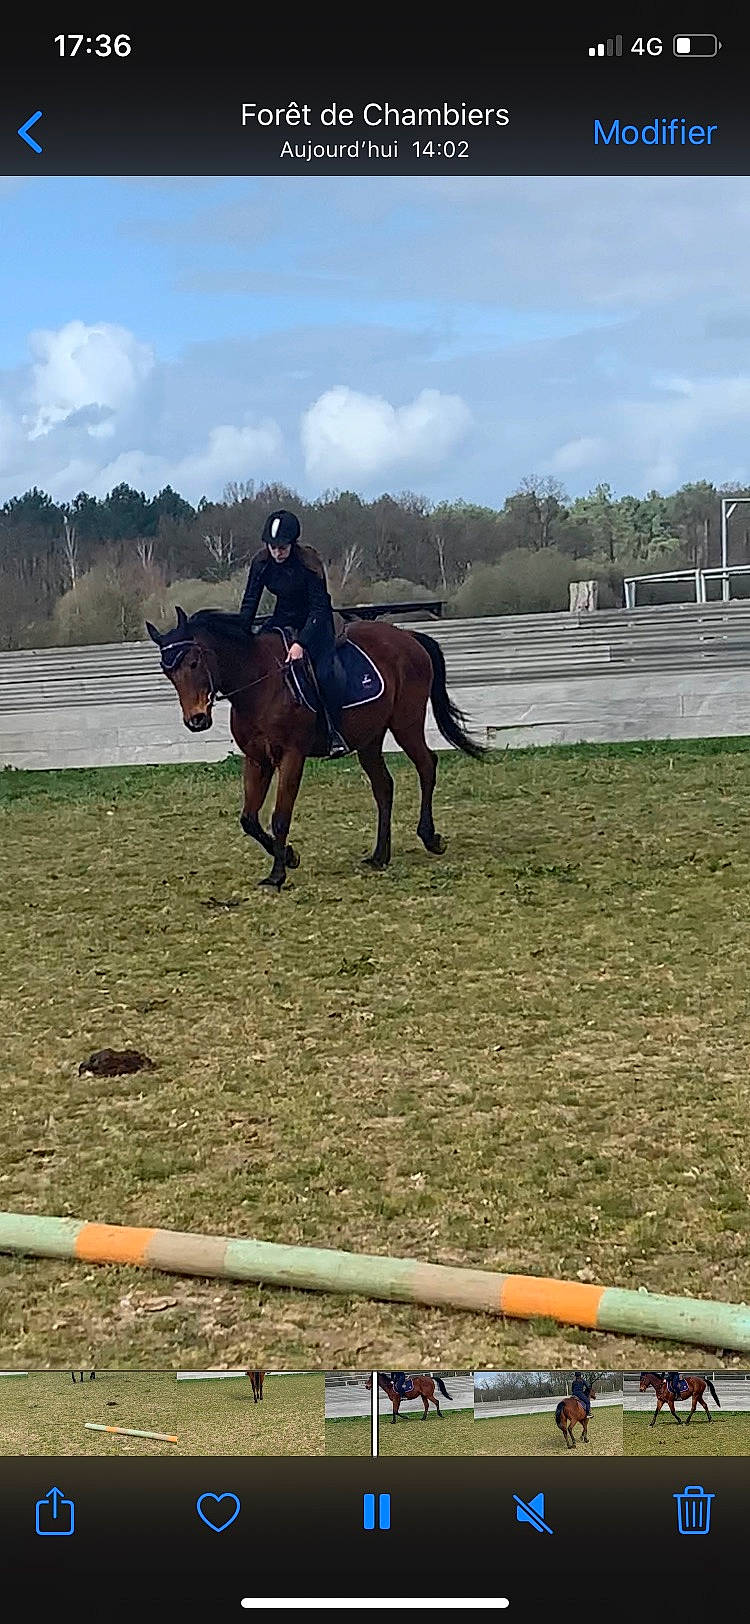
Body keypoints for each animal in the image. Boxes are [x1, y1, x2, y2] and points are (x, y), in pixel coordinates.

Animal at [145, 607, 487, 889]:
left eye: (194, 662)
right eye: (168, 671)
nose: (196, 720)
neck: (260, 682)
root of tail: (407, 637)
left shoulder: (291, 756)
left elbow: (280, 816)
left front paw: (277, 875)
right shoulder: (257, 760)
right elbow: (249, 819)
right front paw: (289, 856)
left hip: (406, 724)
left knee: (427, 765)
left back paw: (430, 838)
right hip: (369, 739)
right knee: (383, 786)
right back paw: (380, 855)